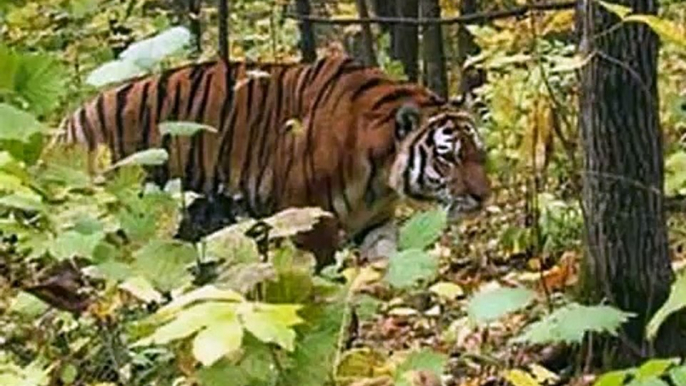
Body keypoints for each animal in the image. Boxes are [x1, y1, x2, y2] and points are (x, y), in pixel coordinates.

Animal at [56, 54, 492, 270]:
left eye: (479, 154)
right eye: (448, 157)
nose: (484, 196)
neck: (380, 174)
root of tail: (68, 123)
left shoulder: (376, 224)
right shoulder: (308, 219)